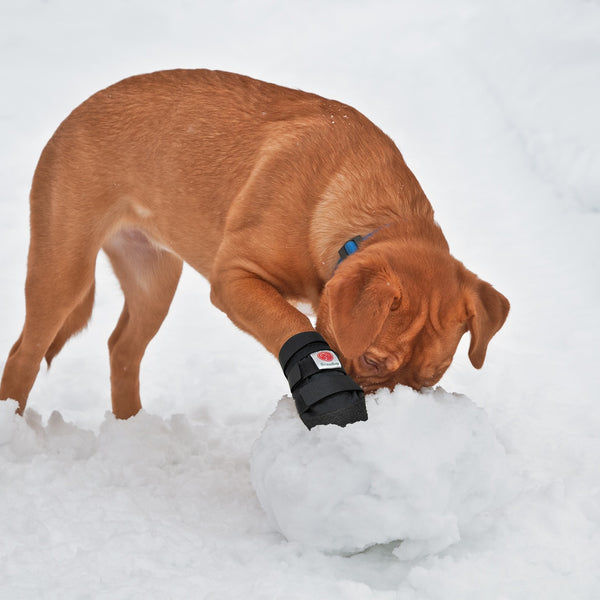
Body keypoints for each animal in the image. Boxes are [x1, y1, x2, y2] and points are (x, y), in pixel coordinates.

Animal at [0, 68, 506, 426]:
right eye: (370, 360)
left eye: (429, 381)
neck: (370, 215)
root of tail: (76, 111)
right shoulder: (233, 277)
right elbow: (292, 322)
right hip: (63, 270)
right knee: (25, 353)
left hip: (154, 277)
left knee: (123, 349)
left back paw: (133, 431)